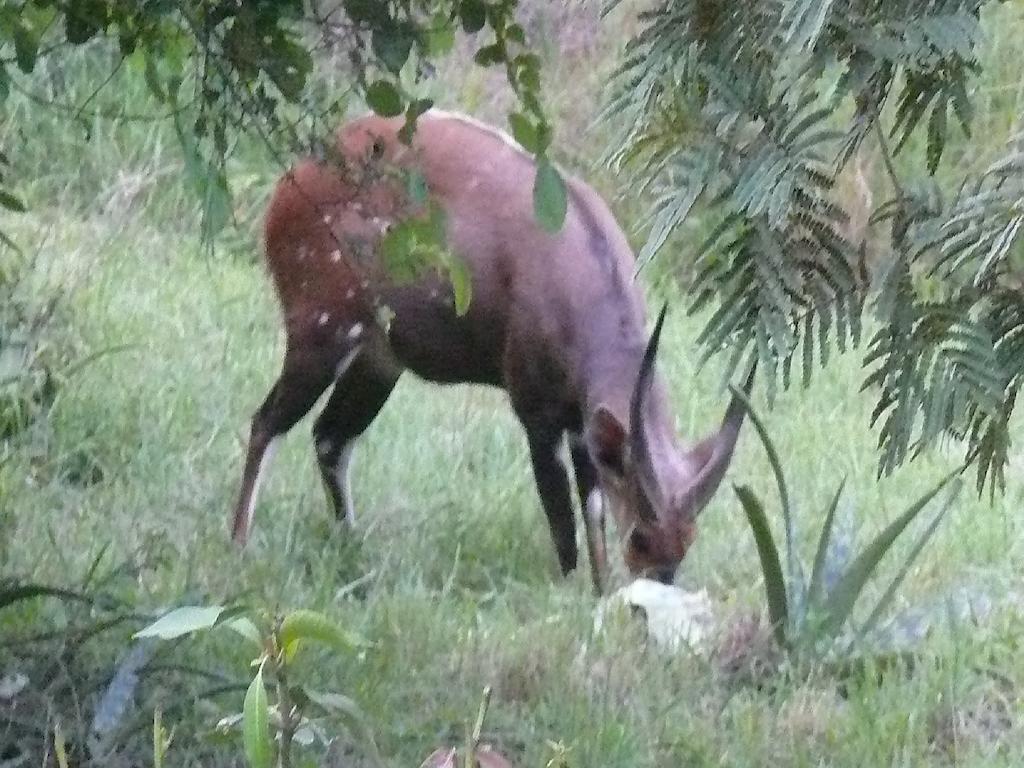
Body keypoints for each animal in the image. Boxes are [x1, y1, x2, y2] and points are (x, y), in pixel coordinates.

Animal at [232, 108, 753, 593]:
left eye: (687, 541)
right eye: (642, 537)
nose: (658, 582)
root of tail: (288, 183)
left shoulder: (580, 422)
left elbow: (594, 508)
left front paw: (602, 594)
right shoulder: (535, 409)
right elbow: (561, 516)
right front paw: (571, 592)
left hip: (379, 360)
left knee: (330, 437)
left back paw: (353, 551)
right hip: (321, 331)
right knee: (267, 422)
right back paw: (238, 547)